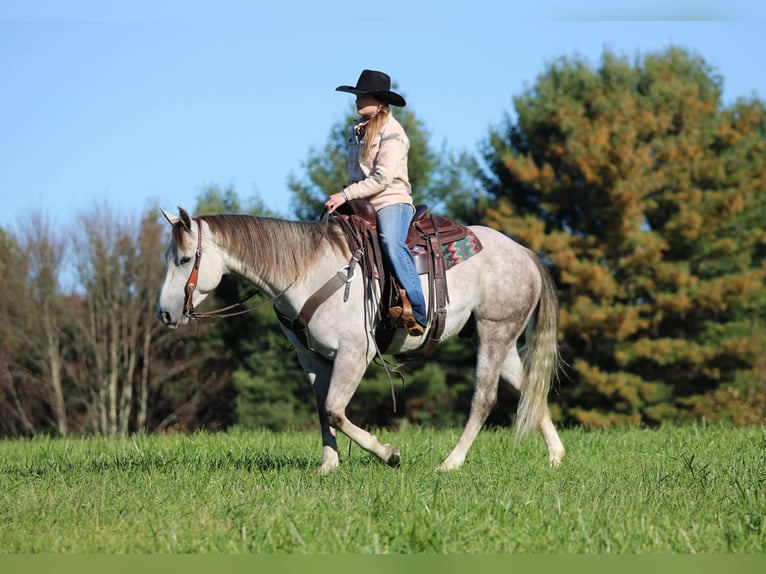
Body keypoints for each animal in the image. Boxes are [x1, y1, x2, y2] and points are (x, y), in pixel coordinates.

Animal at [156, 207, 565, 473]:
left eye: (186, 259)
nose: (164, 313)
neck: (306, 270)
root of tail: (525, 254)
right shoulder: (312, 358)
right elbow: (323, 410)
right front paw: (329, 466)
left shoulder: (355, 354)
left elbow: (336, 410)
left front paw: (389, 454)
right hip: (504, 342)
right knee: (530, 390)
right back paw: (556, 457)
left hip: (494, 333)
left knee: (484, 400)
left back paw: (450, 463)